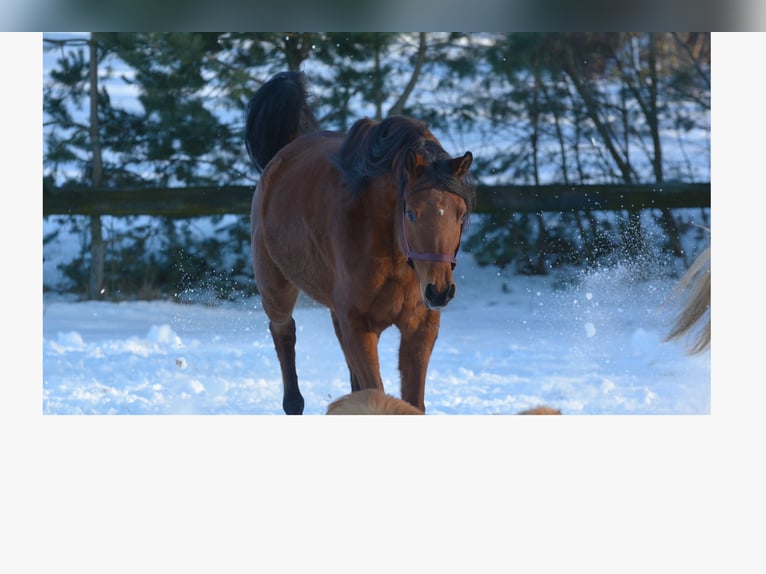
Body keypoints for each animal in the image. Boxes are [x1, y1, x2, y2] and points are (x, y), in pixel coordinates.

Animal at [246, 71, 475, 415]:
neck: (394, 256)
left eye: (460, 215)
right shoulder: (358, 326)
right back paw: (293, 402)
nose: (439, 291)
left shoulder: (420, 327)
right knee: (283, 334)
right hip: (276, 287)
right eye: (411, 213)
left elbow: (412, 403)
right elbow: (375, 394)